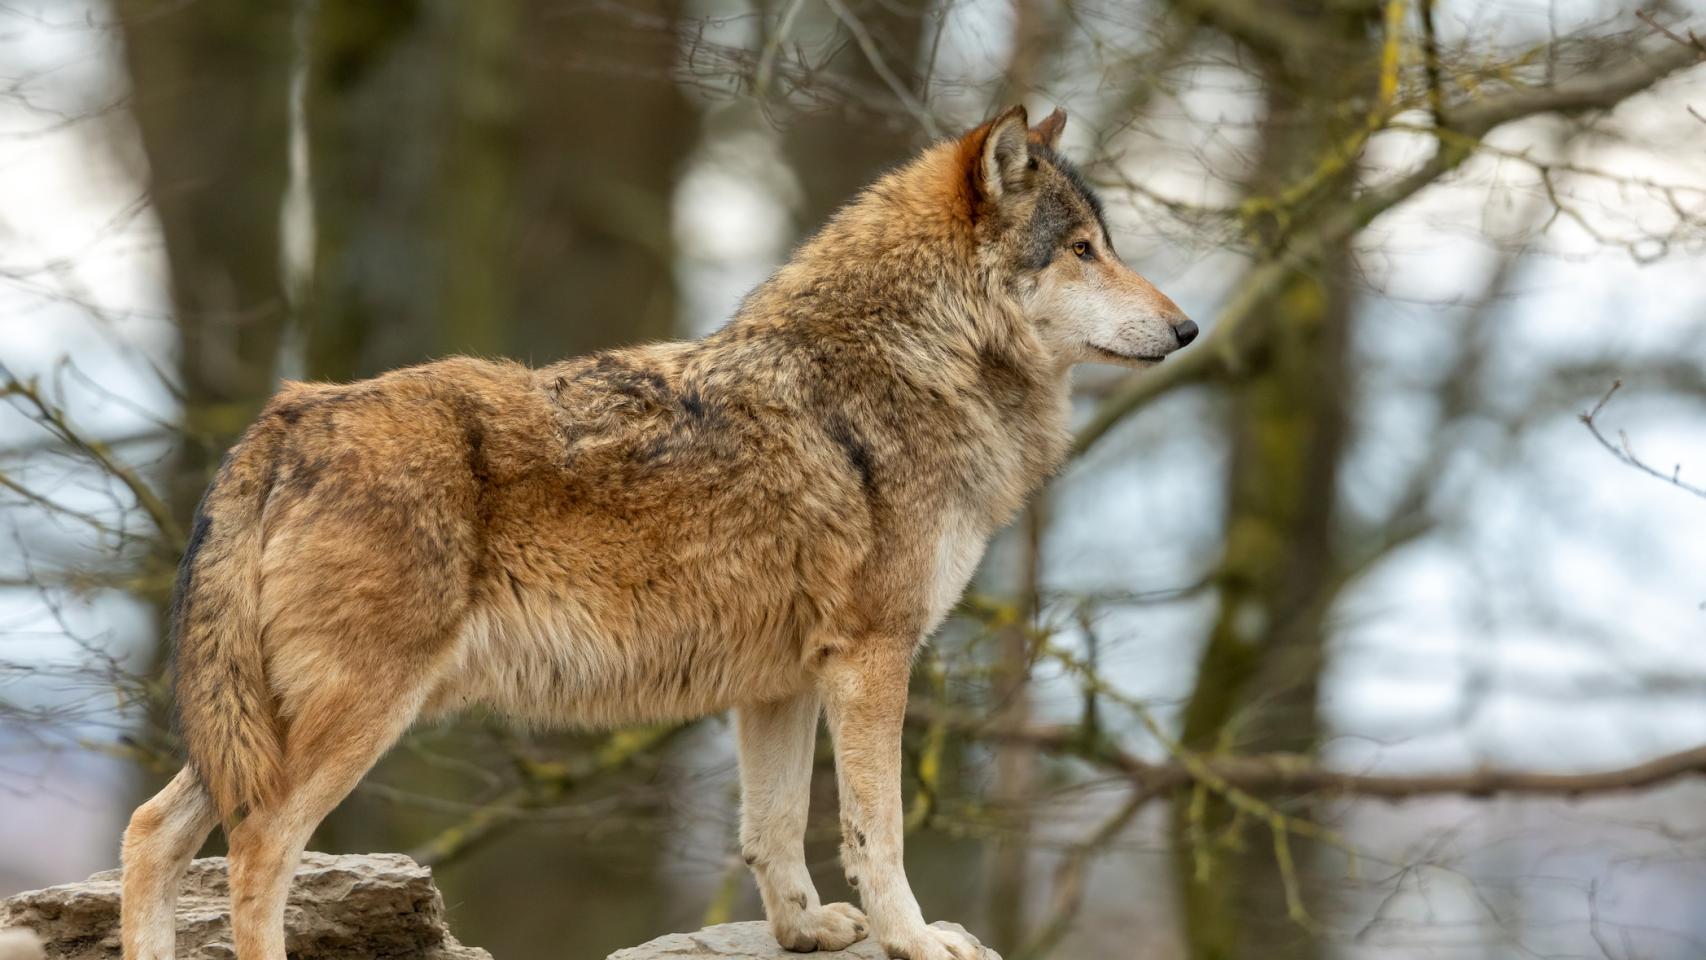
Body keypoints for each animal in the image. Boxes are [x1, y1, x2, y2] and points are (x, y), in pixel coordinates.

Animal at [120, 106, 1194, 960]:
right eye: (1083, 250)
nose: (1188, 330)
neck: (912, 359)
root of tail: (287, 415)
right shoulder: (871, 658)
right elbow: (875, 832)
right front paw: (918, 941)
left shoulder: (782, 682)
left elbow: (773, 827)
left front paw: (805, 931)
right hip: (349, 721)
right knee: (257, 854)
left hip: (255, 728)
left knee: (149, 832)